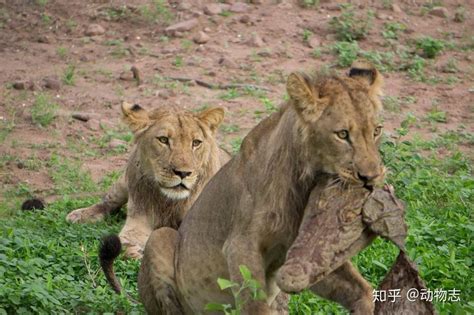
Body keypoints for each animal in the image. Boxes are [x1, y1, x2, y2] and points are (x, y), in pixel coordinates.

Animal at [66, 103, 230, 260]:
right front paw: (135, 252)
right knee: (108, 201)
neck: (169, 202)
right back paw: (80, 215)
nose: (183, 173)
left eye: (196, 143)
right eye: (163, 140)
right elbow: (127, 240)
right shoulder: (138, 219)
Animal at [136, 60, 386, 314]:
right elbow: (255, 304)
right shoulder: (240, 247)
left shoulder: (301, 254)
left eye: (376, 131)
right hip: (160, 238)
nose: (371, 177)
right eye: (342, 134)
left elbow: (362, 290)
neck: (303, 184)